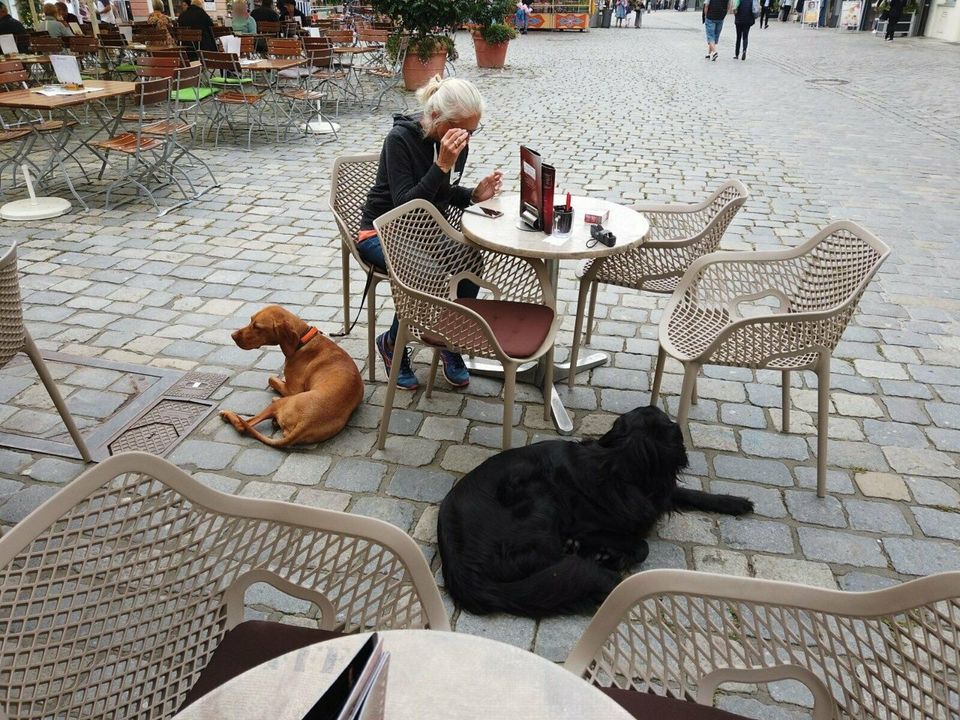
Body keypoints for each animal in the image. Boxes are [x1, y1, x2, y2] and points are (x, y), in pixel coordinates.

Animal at [221, 306, 364, 450]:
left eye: (257, 327)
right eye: (251, 320)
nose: (233, 336)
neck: (303, 340)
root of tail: (305, 423)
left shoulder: (292, 390)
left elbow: (271, 379)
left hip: (281, 403)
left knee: (243, 425)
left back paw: (227, 414)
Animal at [436, 404, 756, 620]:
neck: (619, 466)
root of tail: (460, 568)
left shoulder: (659, 493)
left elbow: (688, 493)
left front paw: (734, 502)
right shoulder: (586, 526)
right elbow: (642, 546)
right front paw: (611, 553)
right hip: (537, 499)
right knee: (544, 561)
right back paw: (595, 560)